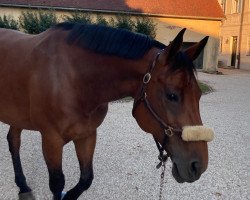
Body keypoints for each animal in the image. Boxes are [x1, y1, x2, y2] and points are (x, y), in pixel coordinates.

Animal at [0, 22, 213, 200]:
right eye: (172, 95)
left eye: (199, 95)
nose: (198, 166)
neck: (73, 79)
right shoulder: (51, 140)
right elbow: (57, 183)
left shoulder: (87, 134)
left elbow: (86, 179)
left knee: (14, 141)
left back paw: (23, 187)